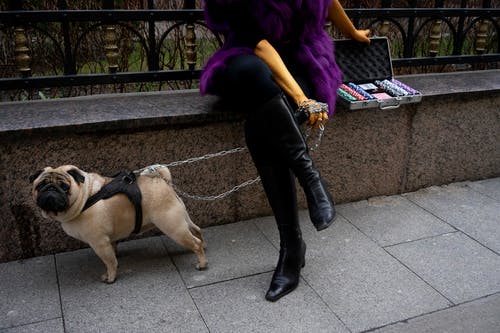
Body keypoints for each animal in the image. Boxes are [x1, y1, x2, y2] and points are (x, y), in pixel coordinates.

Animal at [29, 165, 207, 282]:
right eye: (40, 185)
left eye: (64, 186)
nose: (50, 189)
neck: (85, 197)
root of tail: (162, 181)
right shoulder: (107, 240)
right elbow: (113, 252)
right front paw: (116, 256)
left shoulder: (99, 242)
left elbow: (109, 261)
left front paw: (110, 277)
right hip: (182, 219)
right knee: (197, 230)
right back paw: (203, 248)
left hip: (172, 226)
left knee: (195, 243)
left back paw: (202, 263)